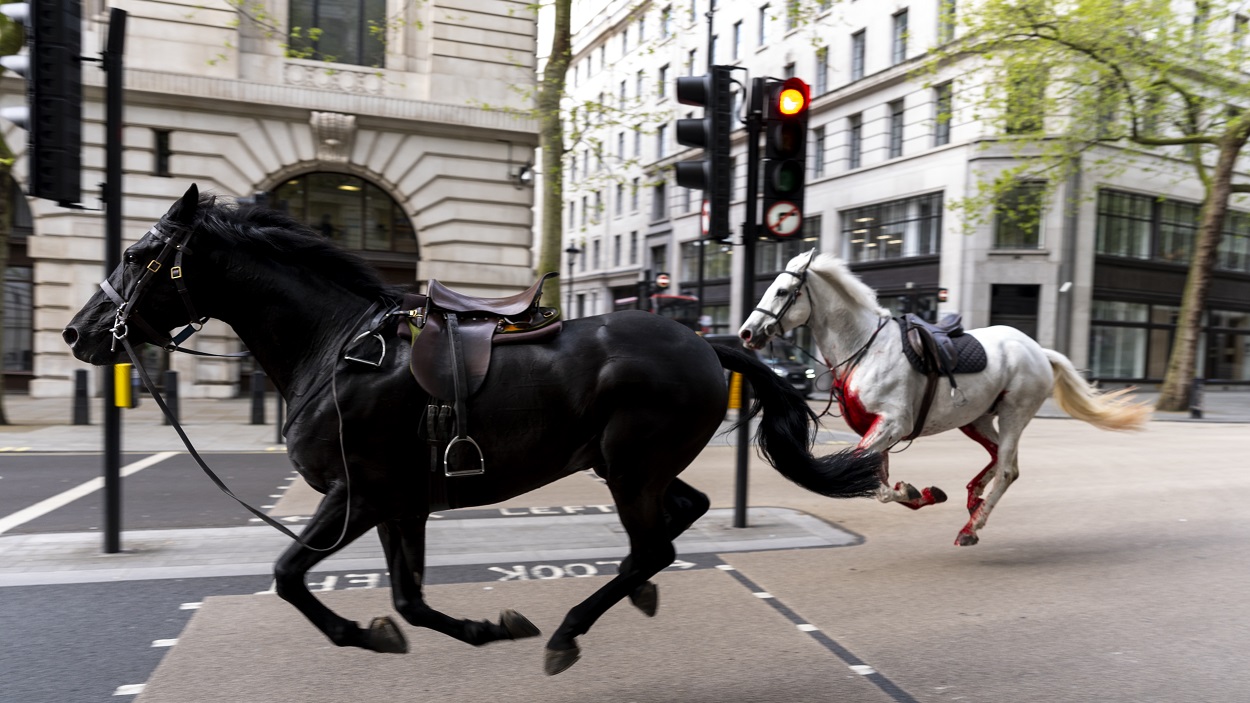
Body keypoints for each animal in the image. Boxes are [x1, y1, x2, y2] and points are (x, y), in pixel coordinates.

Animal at [60, 185, 880, 675]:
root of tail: (706, 343)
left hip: (627, 465)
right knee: (680, 518)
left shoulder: (358, 494)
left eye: (137, 254)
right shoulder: (399, 503)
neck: (336, 348)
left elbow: (292, 573)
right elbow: (406, 599)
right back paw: (632, 595)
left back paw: (571, 629)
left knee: (655, 542)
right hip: (627, 465)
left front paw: (371, 633)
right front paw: (473, 628)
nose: (78, 332)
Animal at [730, 248, 1150, 545]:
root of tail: (1037, 349)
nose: (747, 333)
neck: (865, 348)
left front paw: (914, 491)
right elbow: (877, 481)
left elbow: (871, 480)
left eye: (783, 290)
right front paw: (920, 492)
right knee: (998, 459)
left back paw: (972, 527)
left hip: (1014, 413)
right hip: (977, 419)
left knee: (1008, 469)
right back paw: (973, 499)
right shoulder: (879, 429)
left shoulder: (892, 423)